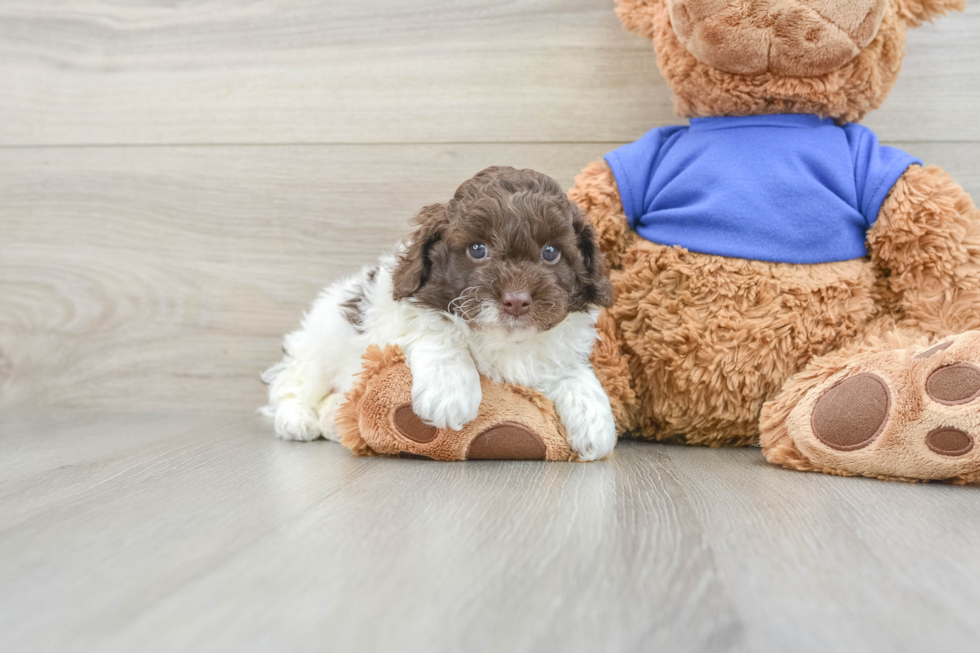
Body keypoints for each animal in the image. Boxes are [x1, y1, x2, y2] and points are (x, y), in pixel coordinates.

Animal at [264, 169, 616, 464]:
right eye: (477, 249)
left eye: (551, 252)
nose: (516, 301)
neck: (504, 341)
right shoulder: (397, 317)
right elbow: (438, 329)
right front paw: (449, 390)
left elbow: (573, 371)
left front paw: (595, 418)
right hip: (318, 344)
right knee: (292, 383)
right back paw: (297, 419)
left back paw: (333, 417)